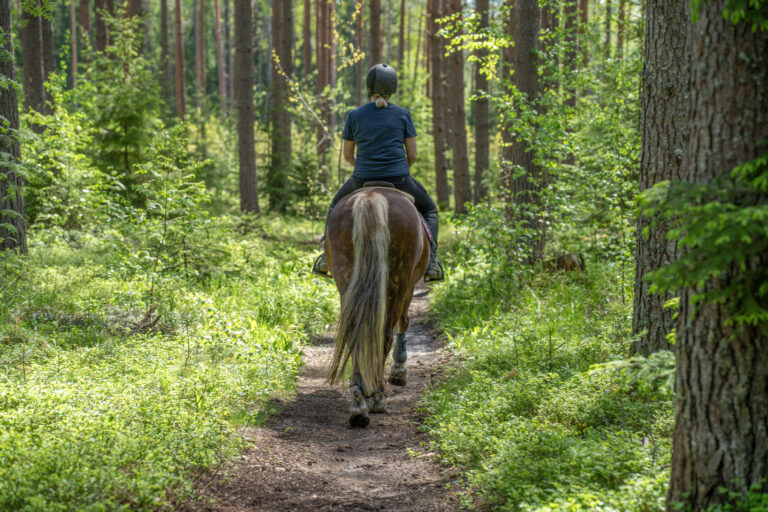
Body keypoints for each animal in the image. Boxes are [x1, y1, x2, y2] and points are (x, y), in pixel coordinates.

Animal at [324, 184, 430, 428]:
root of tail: (371, 196)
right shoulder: (409, 286)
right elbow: (404, 321)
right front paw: (399, 371)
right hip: (398, 281)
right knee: (384, 335)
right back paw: (377, 397)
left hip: (347, 279)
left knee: (356, 333)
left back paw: (358, 404)